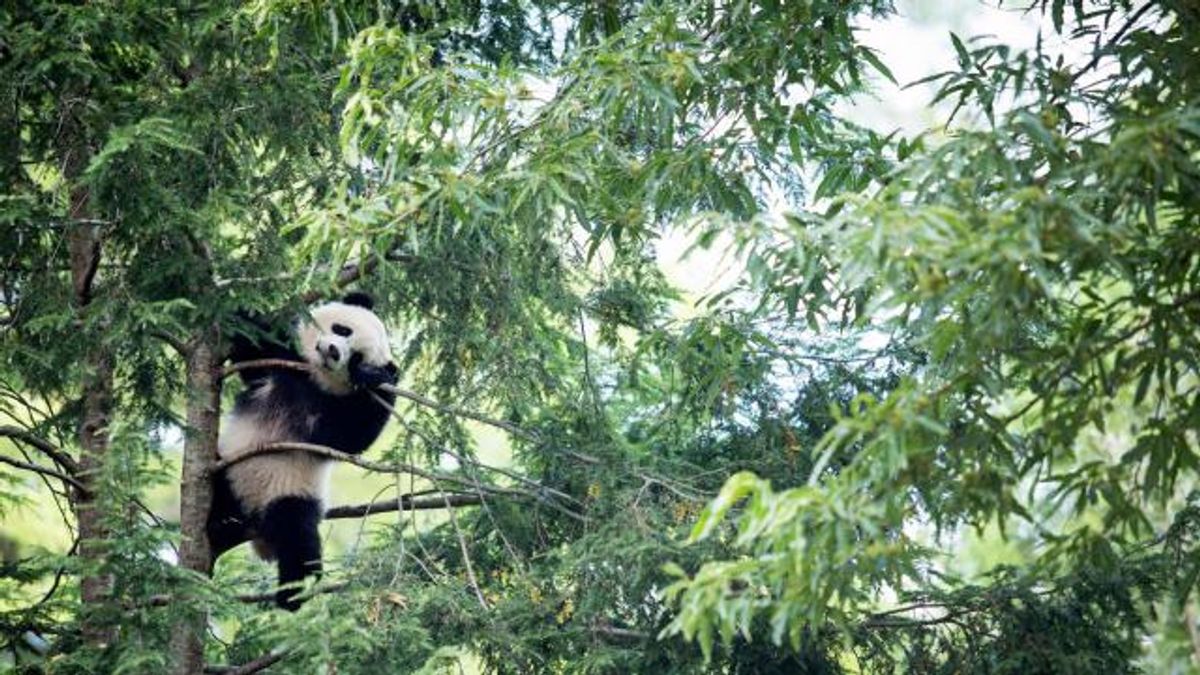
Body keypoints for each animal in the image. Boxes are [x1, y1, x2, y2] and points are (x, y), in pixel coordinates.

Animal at [207, 291, 398, 610]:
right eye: (342, 329)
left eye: (356, 358)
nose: (333, 351)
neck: (313, 380)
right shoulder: (281, 366)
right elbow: (252, 348)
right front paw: (239, 309)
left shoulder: (329, 410)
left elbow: (350, 439)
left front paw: (378, 377)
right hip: (228, 469)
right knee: (218, 492)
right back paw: (220, 525)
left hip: (290, 489)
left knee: (296, 532)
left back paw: (293, 592)